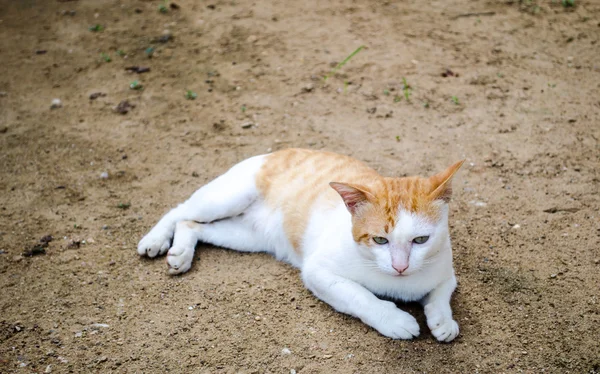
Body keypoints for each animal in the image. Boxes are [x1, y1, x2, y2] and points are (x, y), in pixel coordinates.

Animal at [139, 148, 464, 342]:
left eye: (420, 240)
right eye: (379, 240)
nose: (400, 266)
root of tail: (274, 150)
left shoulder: (446, 271)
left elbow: (441, 292)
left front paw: (442, 319)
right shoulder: (318, 271)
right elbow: (360, 296)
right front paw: (394, 318)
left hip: (247, 236)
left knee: (193, 225)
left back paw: (181, 251)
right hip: (225, 199)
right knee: (180, 211)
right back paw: (155, 239)